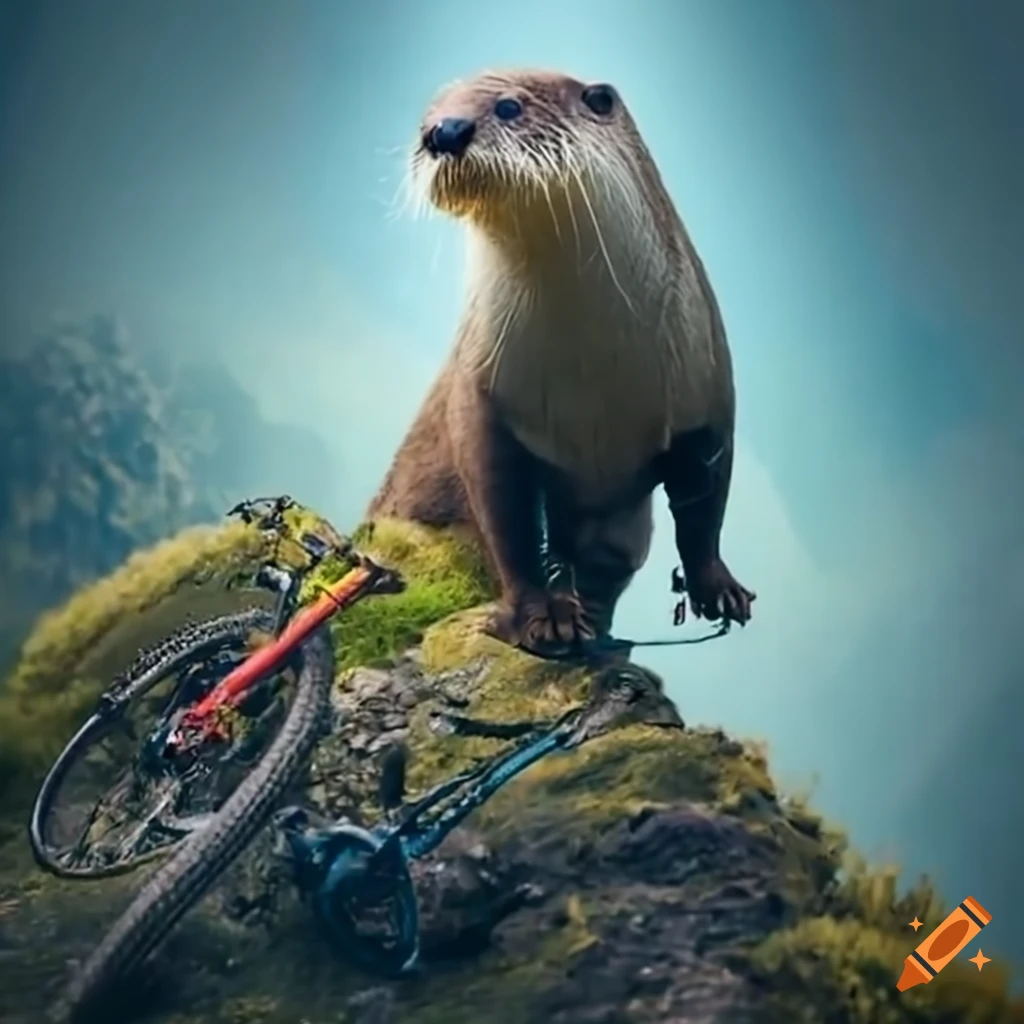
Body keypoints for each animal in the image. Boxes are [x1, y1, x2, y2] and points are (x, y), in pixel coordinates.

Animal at [369, 69, 755, 656]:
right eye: (424, 120)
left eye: (509, 107)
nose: (443, 132)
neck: (594, 377)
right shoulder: (480, 400)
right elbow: (508, 524)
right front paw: (545, 618)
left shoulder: (708, 392)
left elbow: (704, 513)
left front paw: (720, 589)